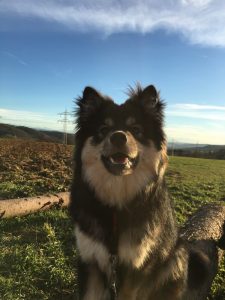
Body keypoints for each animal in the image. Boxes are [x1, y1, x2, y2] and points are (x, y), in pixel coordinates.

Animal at [69, 84, 224, 300]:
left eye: (136, 130)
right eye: (103, 129)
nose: (118, 136)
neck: (116, 203)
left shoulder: (138, 266)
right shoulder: (90, 259)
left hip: (177, 257)